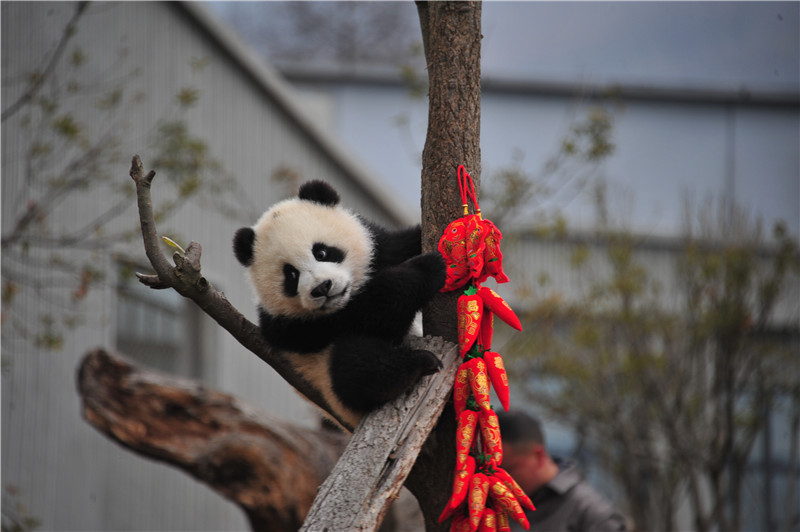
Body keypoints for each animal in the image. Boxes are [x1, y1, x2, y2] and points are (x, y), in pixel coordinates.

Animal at [233, 179, 450, 428]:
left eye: (322, 252)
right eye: (291, 275)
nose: (322, 288)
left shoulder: (381, 249)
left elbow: (399, 244)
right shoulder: (295, 327)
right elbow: (370, 311)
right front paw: (428, 268)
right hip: (331, 384)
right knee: (355, 366)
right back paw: (418, 364)